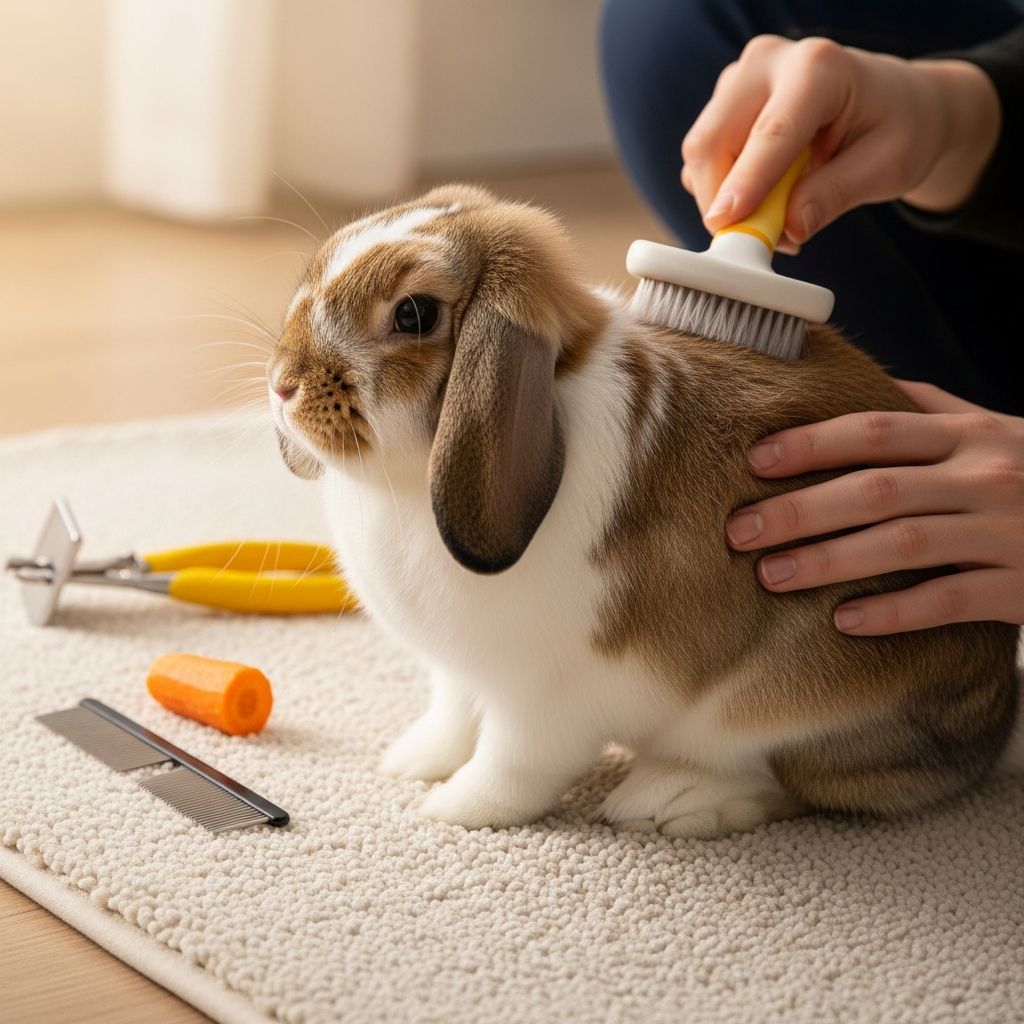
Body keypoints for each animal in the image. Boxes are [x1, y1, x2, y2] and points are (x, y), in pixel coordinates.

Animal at [267, 183, 1020, 838]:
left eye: (414, 314)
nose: (282, 384)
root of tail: (997, 721)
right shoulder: (458, 672)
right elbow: (453, 717)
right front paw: (411, 763)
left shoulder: (541, 695)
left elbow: (516, 763)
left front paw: (457, 809)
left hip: (784, 703)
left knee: (798, 780)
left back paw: (672, 801)